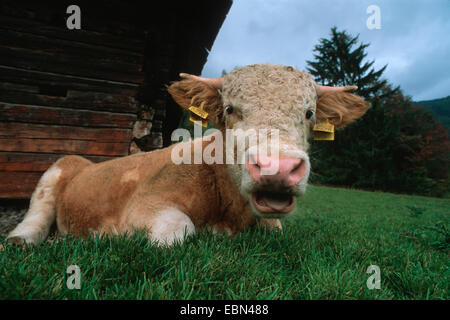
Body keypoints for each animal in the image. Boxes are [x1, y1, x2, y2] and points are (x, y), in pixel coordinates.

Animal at [6, 64, 370, 245]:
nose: (277, 168)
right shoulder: (146, 202)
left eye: (309, 113)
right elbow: (179, 230)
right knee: (37, 215)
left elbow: (275, 227)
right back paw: (21, 240)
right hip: (54, 172)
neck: (230, 213)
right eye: (230, 109)